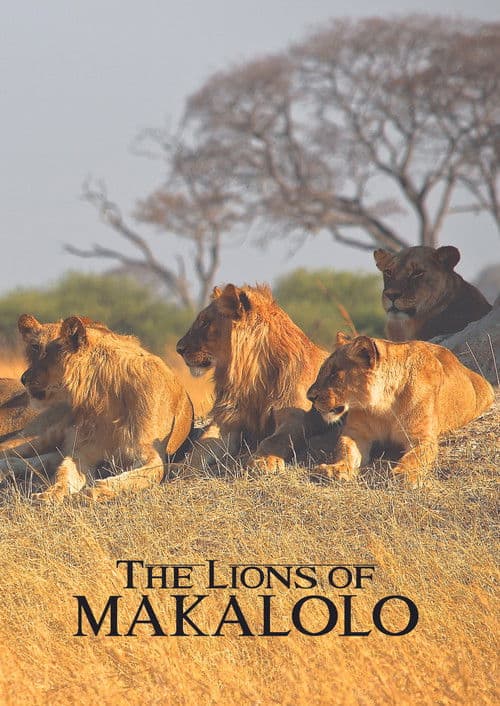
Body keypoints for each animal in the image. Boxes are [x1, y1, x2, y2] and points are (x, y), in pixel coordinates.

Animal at [19, 315, 193, 501]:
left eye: (52, 351)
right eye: (34, 347)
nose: (23, 378)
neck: (105, 394)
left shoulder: (152, 455)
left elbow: (133, 478)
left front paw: (93, 492)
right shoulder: (84, 452)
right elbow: (63, 473)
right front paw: (49, 494)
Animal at [176, 284, 329, 470]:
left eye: (205, 322)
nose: (179, 348)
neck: (252, 377)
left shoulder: (298, 417)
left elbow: (275, 439)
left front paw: (263, 461)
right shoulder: (227, 420)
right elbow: (201, 447)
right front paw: (180, 467)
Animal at [306, 332, 495, 486]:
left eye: (334, 374)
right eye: (321, 372)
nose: (309, 397)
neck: (383, 405)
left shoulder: (422, 438)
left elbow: (414, 457)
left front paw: (403, 474)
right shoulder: (356, 433)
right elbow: (344, 450)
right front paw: (335, 469)